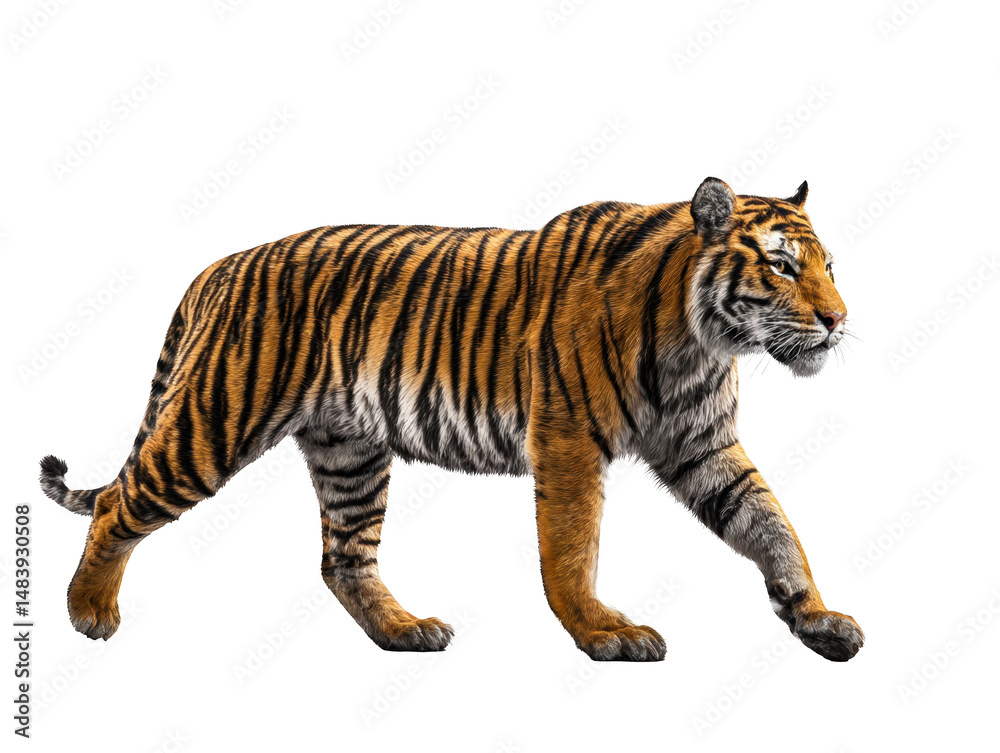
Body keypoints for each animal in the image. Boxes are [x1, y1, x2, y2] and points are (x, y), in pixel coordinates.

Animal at [40, 176, 863, 662]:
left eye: (829, 266)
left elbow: (771, 525)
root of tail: (219, 266)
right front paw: (604, 630)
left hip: (350, 453)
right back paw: (89, 612)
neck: (702, 340)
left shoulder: (703, 446)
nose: (838, 321)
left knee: (343, 558)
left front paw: (817, 616)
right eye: (782, 266)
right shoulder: (567, 440)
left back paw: (405, 631)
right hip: (213, 422)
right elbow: (572, 550)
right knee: (118, 504)